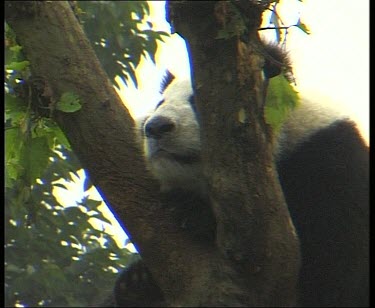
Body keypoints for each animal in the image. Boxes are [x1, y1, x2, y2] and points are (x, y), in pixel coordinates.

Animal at [111, 42, 370, 306]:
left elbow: (335, 259)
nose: (156, 127)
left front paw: (196, 215)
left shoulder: (328, 159)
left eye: (198, 102)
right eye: (159, 103)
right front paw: (137, 281)